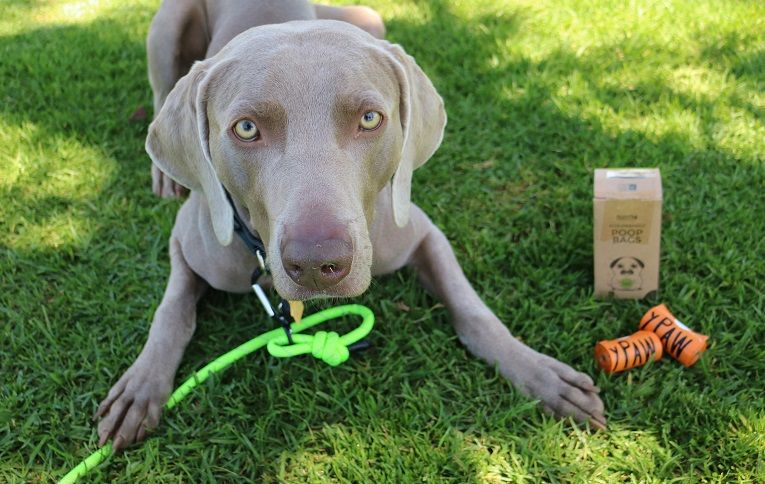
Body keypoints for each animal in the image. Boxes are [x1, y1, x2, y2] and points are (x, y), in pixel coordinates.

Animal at [94, 0, 604, 452]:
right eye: (246, 128)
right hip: (166, 29)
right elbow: (172, 312)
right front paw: (142, 386)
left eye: (370, 118)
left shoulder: (418, 231)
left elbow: (472, 311)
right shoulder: (188, 241)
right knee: (161, 89)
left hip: (369, 17)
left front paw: (538, 372)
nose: (317, 264)